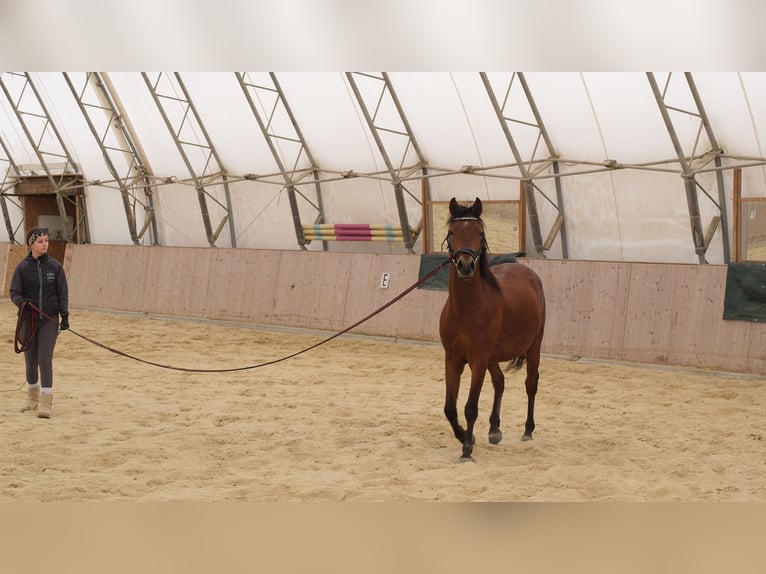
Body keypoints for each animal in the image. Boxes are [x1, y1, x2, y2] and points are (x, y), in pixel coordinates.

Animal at [439, 197, 546, 462]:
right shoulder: (453, 358)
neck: (466, 310)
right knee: (499, 382)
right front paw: (466, 437)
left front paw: (467, 450)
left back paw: (528, 431)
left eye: (479, 233)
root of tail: (528, 272)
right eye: (452, 232)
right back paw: (494, 429)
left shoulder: (477, 359)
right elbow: (450, 407)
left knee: (531, 384)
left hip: (533, 348)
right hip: (492, 357)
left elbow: (470, 407)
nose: (466, 266)